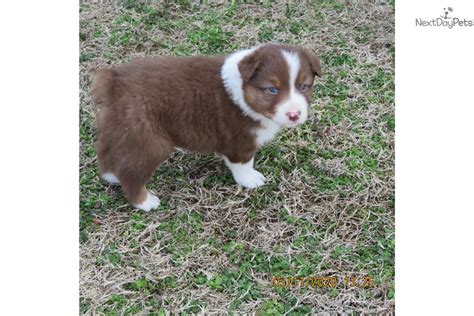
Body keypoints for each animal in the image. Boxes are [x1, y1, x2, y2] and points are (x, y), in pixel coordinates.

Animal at [91, 43, 322, 211]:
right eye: (272, 89)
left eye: (304, 87)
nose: (294, 115)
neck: (242, 93)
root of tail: (113, 82)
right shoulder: (240, 140)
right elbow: (243, 164)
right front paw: (251, 180)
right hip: (150, 141)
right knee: (131, 172)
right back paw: (145, 202)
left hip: (120, 129)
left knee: (106, 150)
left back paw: (111, 176)